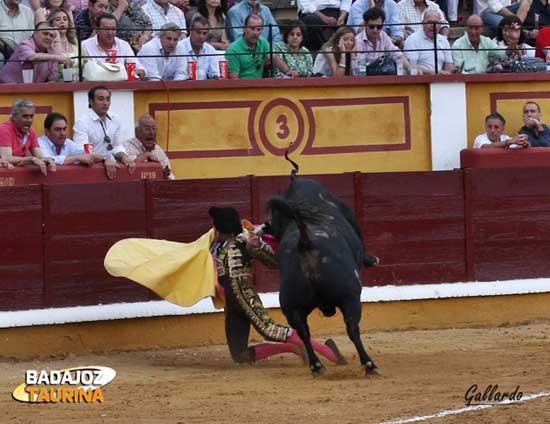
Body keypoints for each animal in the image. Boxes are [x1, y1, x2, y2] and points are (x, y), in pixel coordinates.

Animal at [268, 177, 380, 376]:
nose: (266, 226)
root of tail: (306, 243)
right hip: (350, 297)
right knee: (352, 328)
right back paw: (369, 364)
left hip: (292, 306)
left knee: (303, 332)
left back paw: (316, 365)